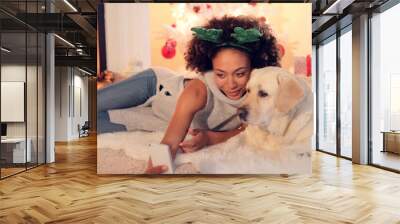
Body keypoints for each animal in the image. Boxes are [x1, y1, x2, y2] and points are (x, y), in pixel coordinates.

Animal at [173, 65, 314, 174]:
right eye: (248, 90)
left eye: (263, 94)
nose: (239, 112)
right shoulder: (242, 137)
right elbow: (220, 148)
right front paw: (180, 158)